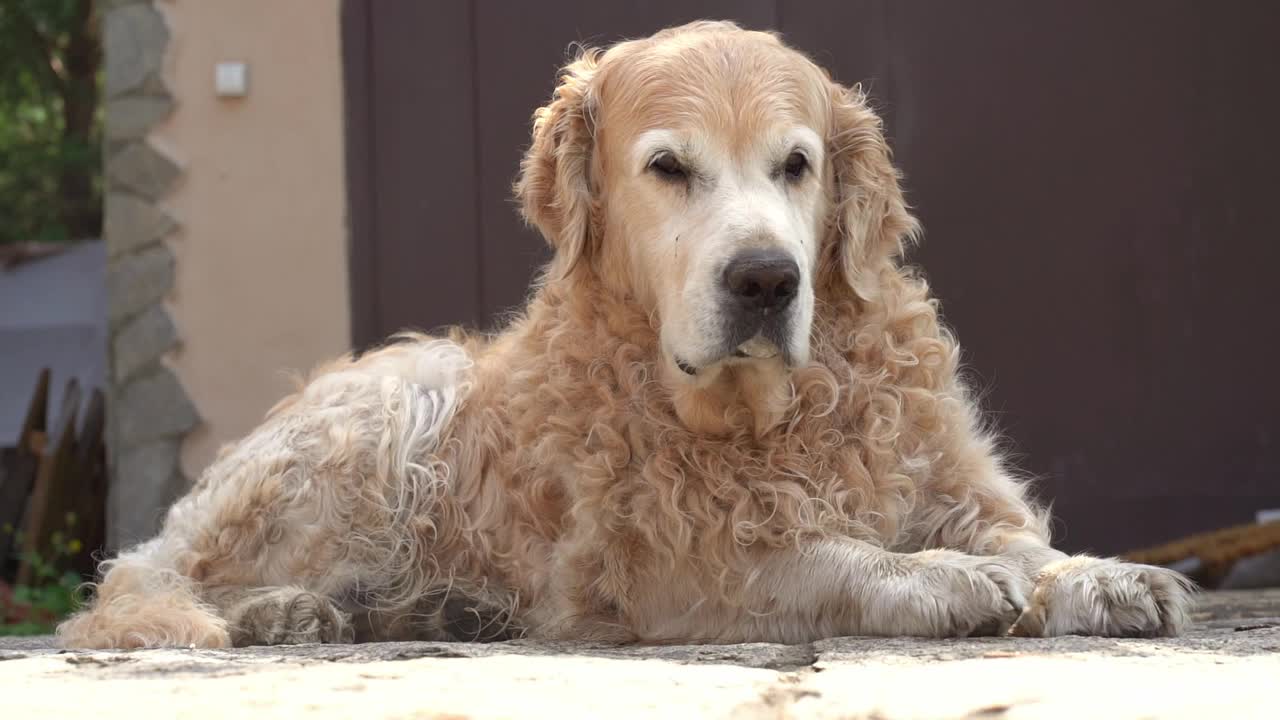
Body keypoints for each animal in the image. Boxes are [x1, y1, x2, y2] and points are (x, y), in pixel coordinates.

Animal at [60, 22, 1192, 648]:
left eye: (796, 164)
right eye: (668, 167)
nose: (765, 279)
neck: (771, 415)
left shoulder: (951, 482)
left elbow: (1026, 543)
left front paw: (1100, 576)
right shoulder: (667, 569)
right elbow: (817, 557)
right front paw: (937, 579)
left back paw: (433, 611)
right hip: (394, 401)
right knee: (144, 582)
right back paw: (283, 614)